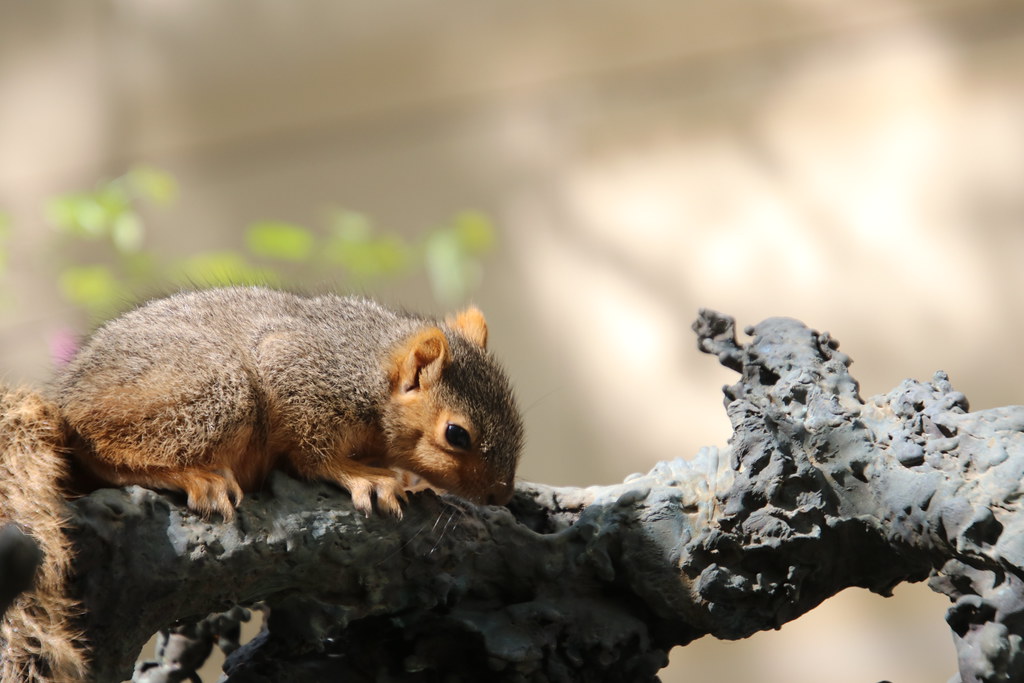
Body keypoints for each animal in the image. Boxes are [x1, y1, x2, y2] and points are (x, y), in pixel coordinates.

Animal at [0, 286, 524, 681]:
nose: (500, 495)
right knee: (105, 450)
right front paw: (367, 478)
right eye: (457, 435)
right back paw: (196, 476)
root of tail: (67, 405)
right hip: (217, 390)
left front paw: (409, 481)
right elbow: (315, 456)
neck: (370, 370)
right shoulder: (299, 380)